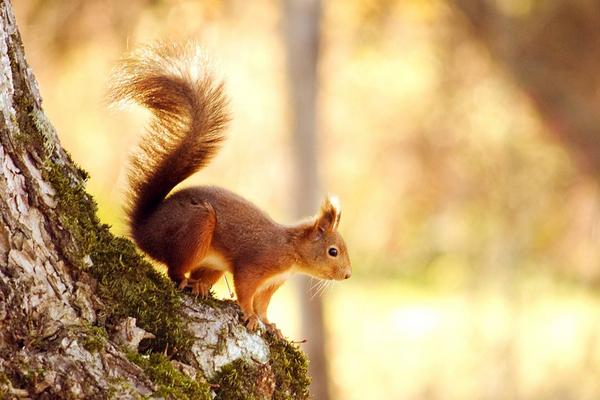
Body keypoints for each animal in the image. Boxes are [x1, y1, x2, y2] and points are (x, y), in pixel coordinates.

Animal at [111, 42, 352, 336]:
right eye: (333, 251)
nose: (347, 275)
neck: (291, 251)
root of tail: (144, 230)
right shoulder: (256, 265)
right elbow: (246, 291)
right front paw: (249, 316)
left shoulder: (272, 283)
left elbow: (263, 304)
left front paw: (270, 325)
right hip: (196, 227)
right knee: (174, 269)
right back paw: (185, 281)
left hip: (211, 262)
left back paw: (200, 285)